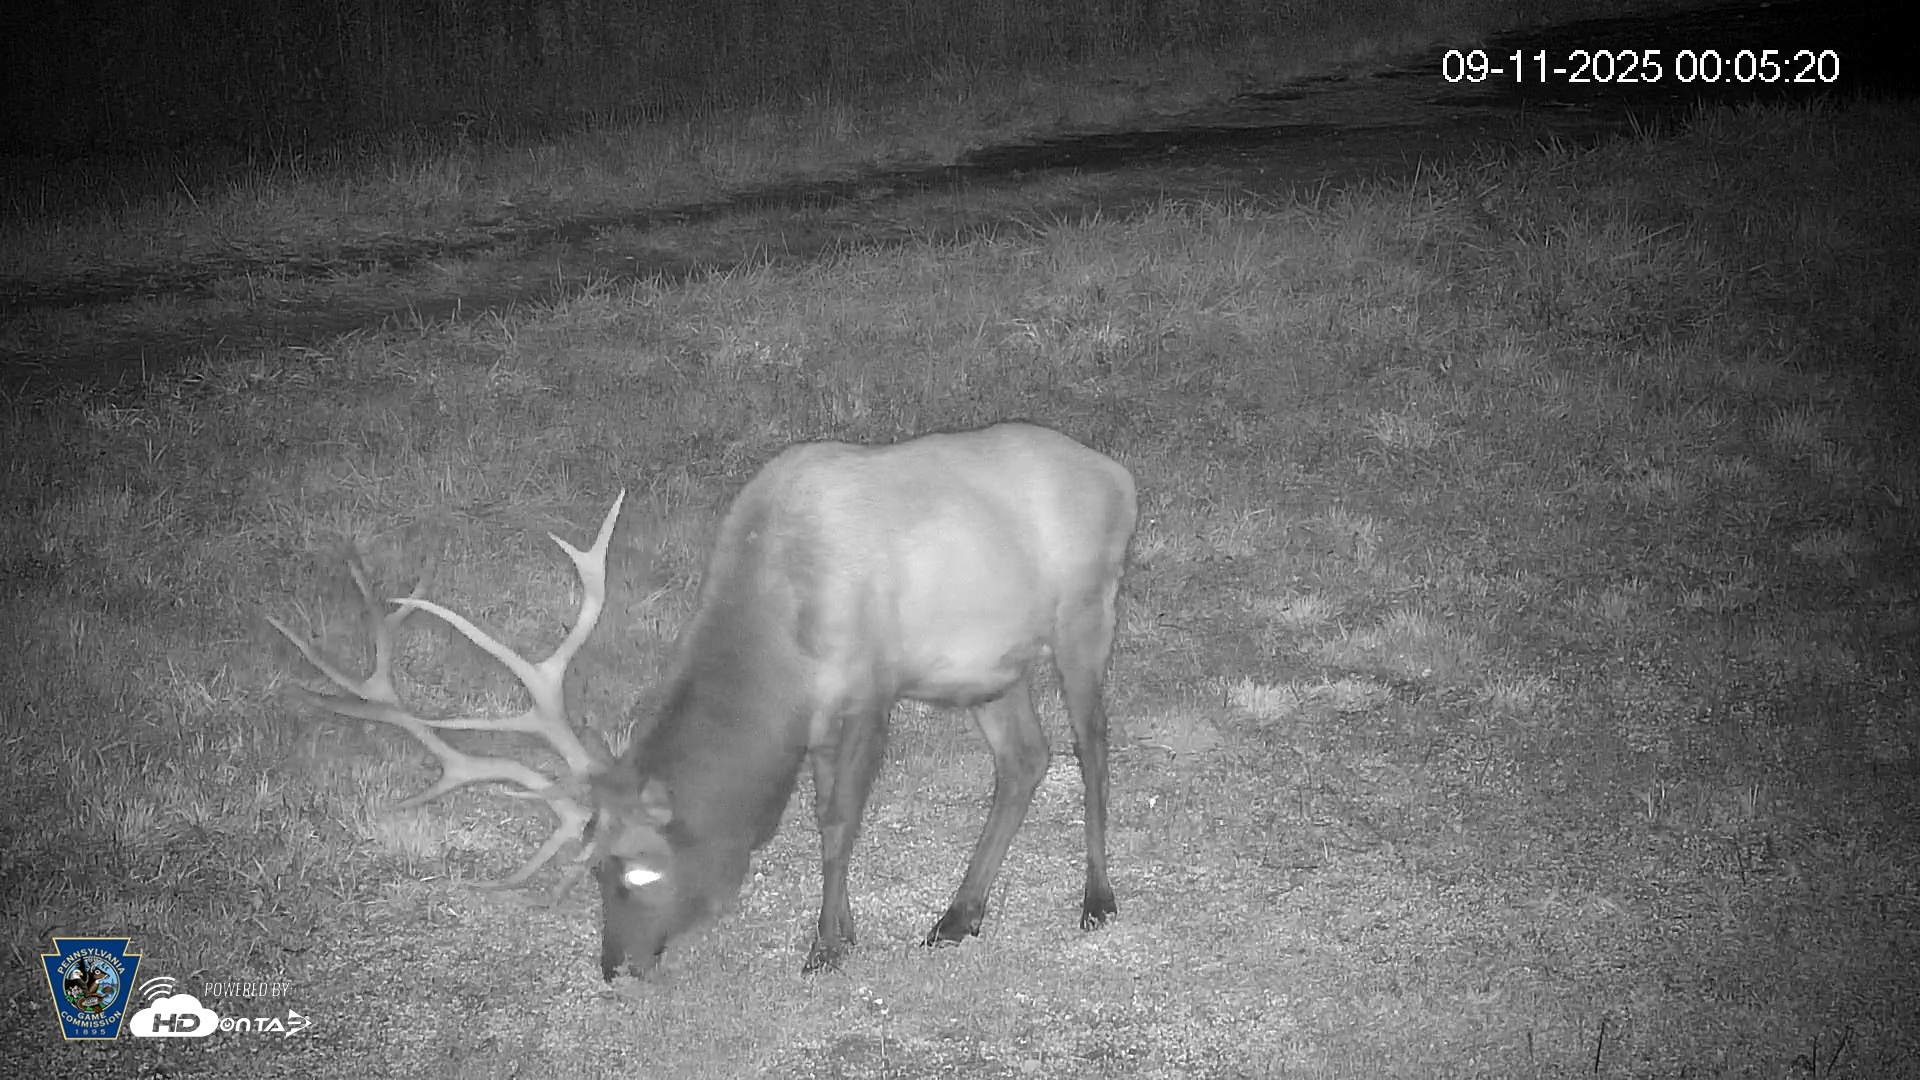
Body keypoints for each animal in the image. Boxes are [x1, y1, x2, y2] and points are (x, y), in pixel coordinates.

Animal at [271, 421, 1137, 978]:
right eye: (590, 869)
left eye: (637, 870)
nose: (615, 966)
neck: (780, 635)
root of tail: (1117, 474)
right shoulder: (823, 720)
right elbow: (824, 818)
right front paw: (845, 932)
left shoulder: (868, 688)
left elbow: (836, 824)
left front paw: (825, 947)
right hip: (992, 665)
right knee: (1026, 760)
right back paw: (959, 916)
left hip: (1084, 614)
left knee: (1092, 746)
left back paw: (1097, 898)